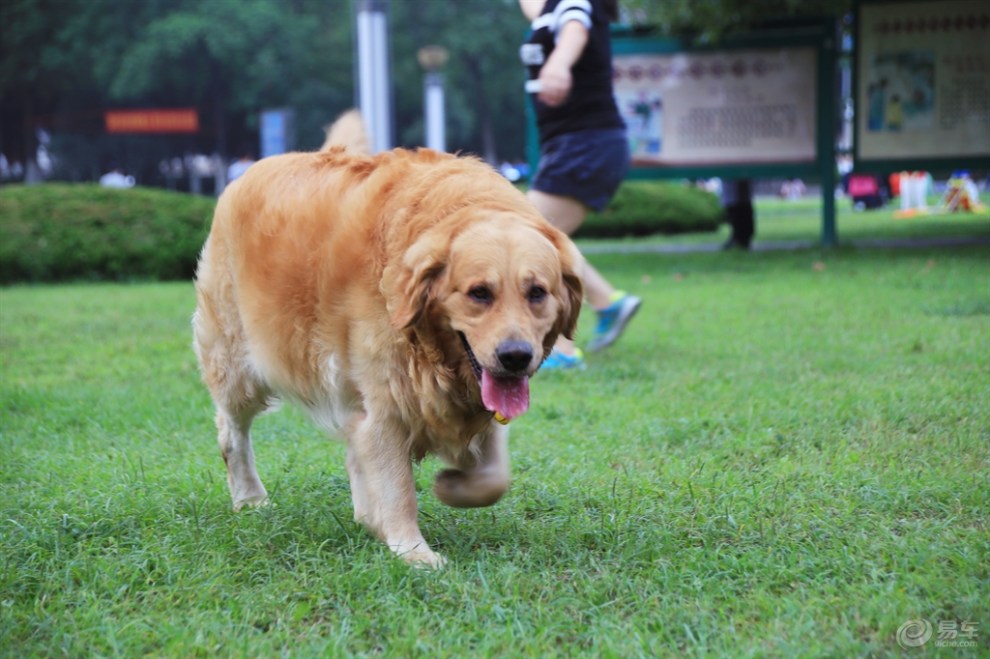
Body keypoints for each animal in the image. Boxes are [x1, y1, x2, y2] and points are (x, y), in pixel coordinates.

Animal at [192, 111, 580, 564]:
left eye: (537, 292)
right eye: (479, 293)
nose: (516, 356)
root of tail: (251, 169)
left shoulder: (479, 400)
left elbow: (494, 477)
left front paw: (454, 487)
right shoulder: (388, 399)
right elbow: (397, 486)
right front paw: (414, 552)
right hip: (238, 362)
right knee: (231, 431)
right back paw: (250, 497)